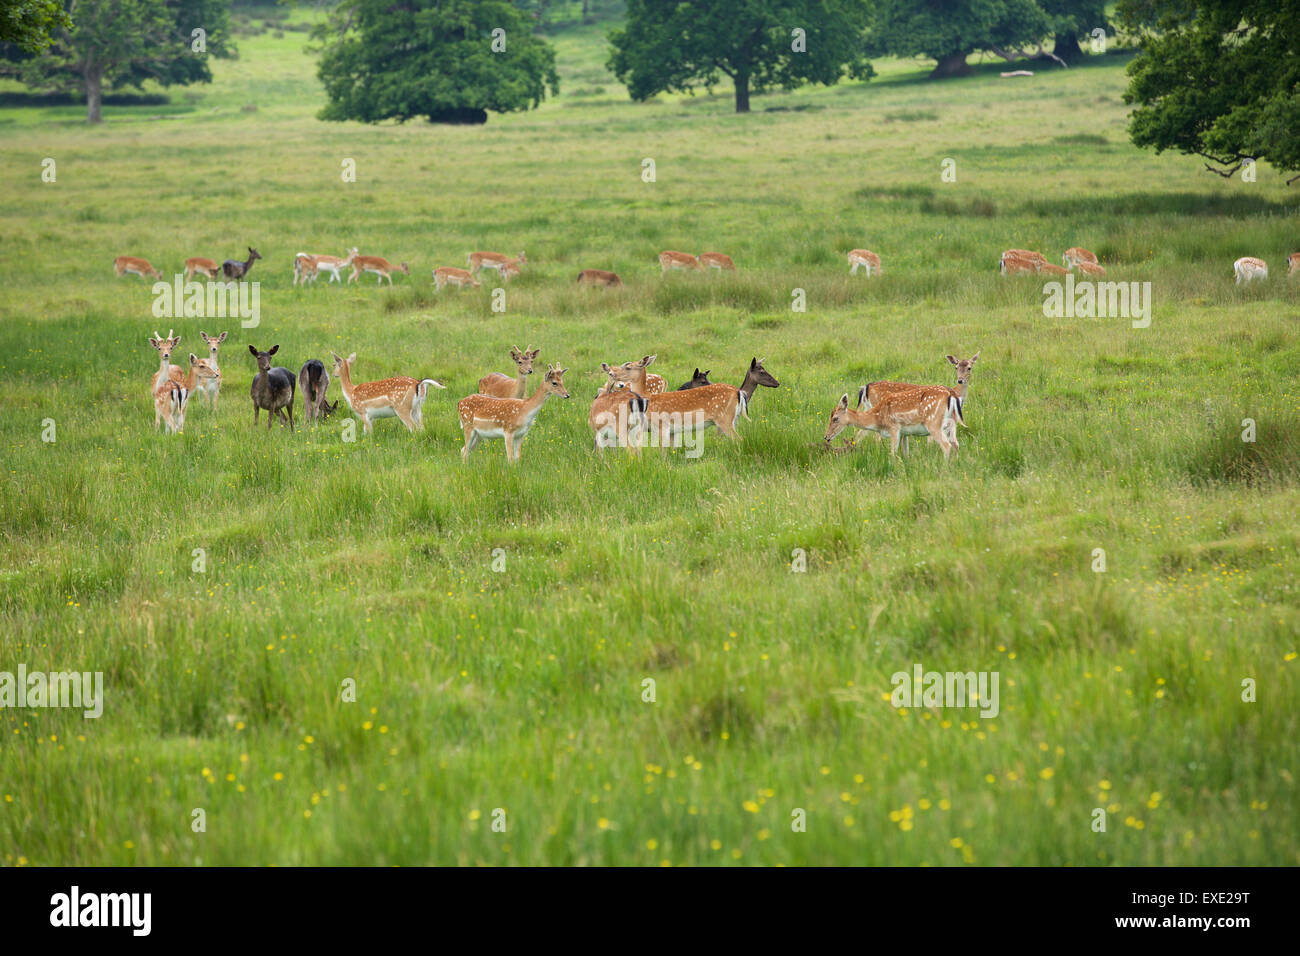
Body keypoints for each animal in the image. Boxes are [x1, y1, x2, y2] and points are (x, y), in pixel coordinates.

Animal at [821, 390, 967, 463]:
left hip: (933, 423)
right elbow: (906, 453)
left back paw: (944, 467)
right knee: (956, 444)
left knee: (946, 445)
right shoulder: (905, 433)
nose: (826, 436)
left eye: (835, 418)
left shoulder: (894, 428)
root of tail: (952, 396)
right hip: (951, 422)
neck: (877, 419)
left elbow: (892, 453)